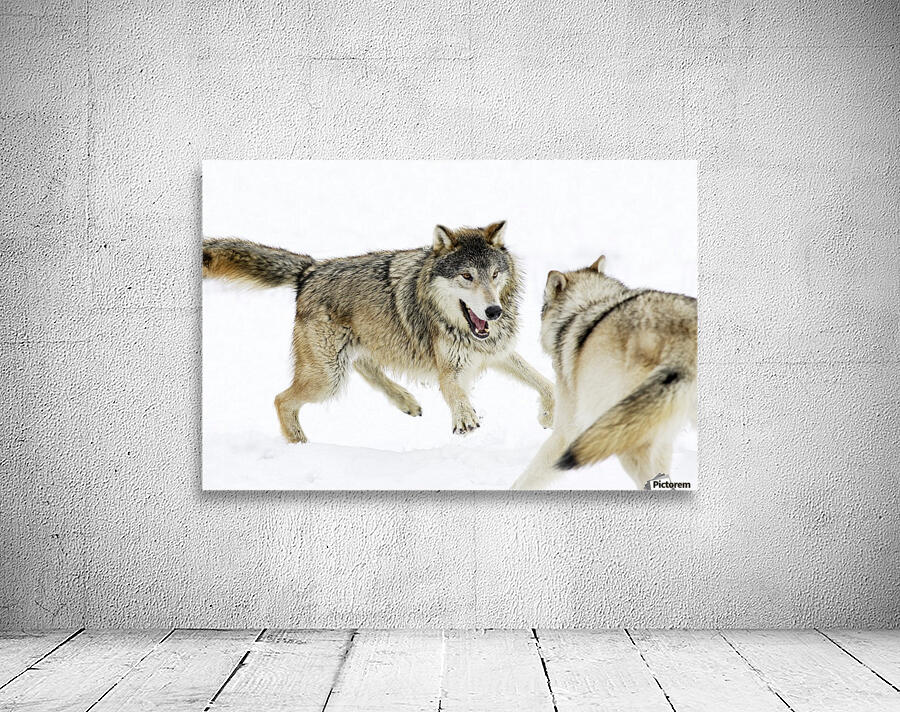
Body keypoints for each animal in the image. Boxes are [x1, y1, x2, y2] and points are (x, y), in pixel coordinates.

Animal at [203, 221, 555, 443]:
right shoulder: (449, 371)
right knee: (281, 400)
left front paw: (548, 418)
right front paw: (465, 419)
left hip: (347, 359)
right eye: (466, 276)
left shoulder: (498, 353)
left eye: (494, 274)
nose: (494, 311)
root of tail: (310, 270)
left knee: (366, 366)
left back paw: (406, 401)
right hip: (328, 379)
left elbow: (547, 384)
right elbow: (457, 396)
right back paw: (300, 445)